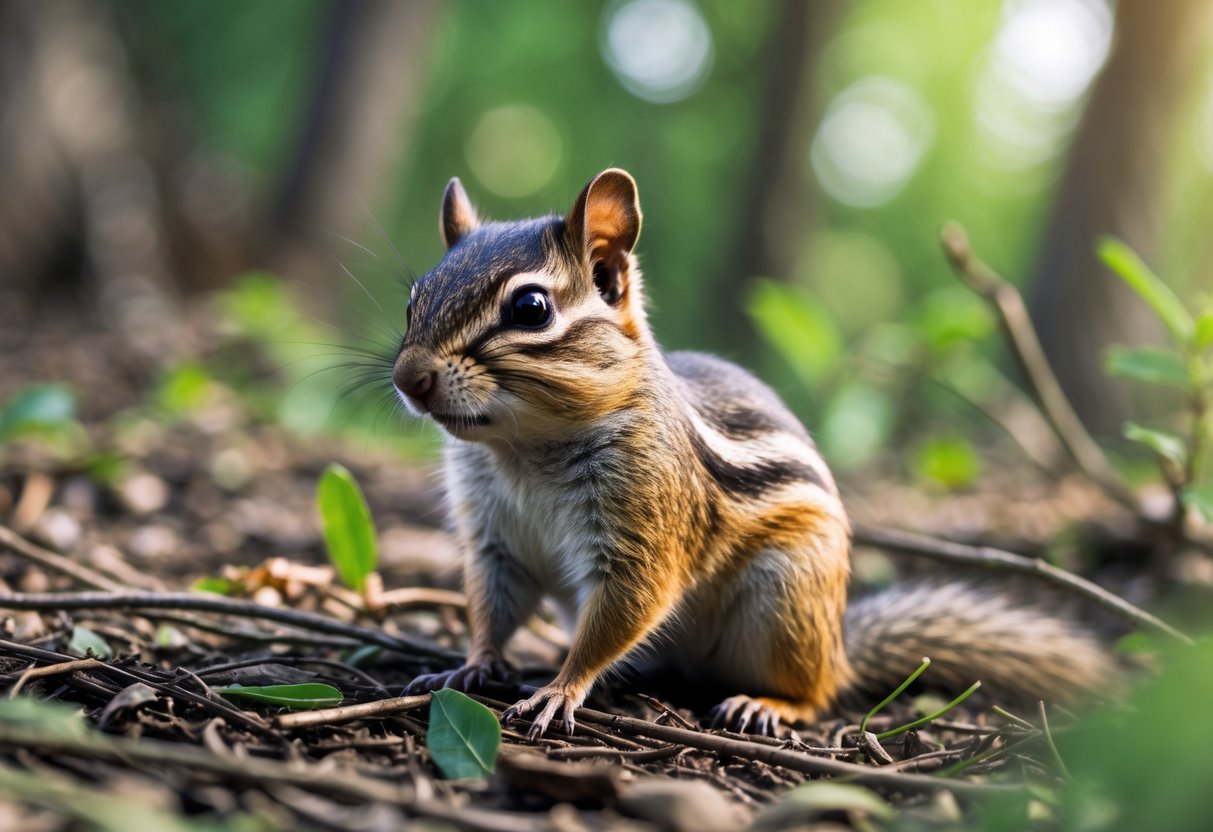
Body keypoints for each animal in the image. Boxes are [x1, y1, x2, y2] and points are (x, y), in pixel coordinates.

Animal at [393, 168, 1114, 738]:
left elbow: (623, 610)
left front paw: (559, 689)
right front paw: (470, 663)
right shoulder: (495, 540)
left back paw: (766, 705)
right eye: (414, 297)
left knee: (818, 695)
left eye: (531, 307)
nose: (408, 378)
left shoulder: (644, 526)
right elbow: (490, 604)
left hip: (786, 600)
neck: (523, 449)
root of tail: (837, 647)